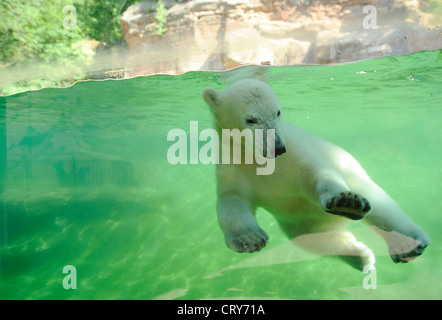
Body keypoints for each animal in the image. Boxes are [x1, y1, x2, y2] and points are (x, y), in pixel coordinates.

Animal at [204, 78, 432, 270]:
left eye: (278, 112)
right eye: (251, 120)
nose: (278, 148)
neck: (257, 158)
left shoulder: (295, 155)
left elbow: (316, 175)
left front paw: (346, 202)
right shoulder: (232, 165)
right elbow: (232, 201)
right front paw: (249, 238)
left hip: (352, 175)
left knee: (383, 208)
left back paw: (407, 245)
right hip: (301, 223)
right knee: (317, 240)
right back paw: (362, 257)